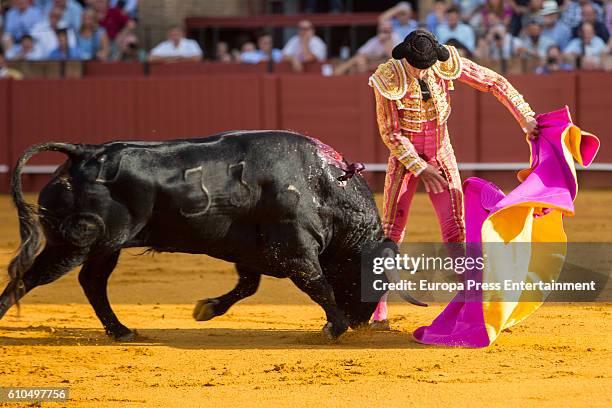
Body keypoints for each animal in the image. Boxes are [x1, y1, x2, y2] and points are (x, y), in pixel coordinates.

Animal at [0, 131, 418, 342]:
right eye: (376, 280)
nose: (362, 320)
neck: (324, 185)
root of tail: (82, 153)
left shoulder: (252, 252)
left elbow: (248, 286)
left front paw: (206, 309)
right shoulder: (295, 251)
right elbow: (320, 286)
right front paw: (335, 326)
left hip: (105, 246)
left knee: (92, 281)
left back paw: (121, 331)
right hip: (74, 243)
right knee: (28, 278)